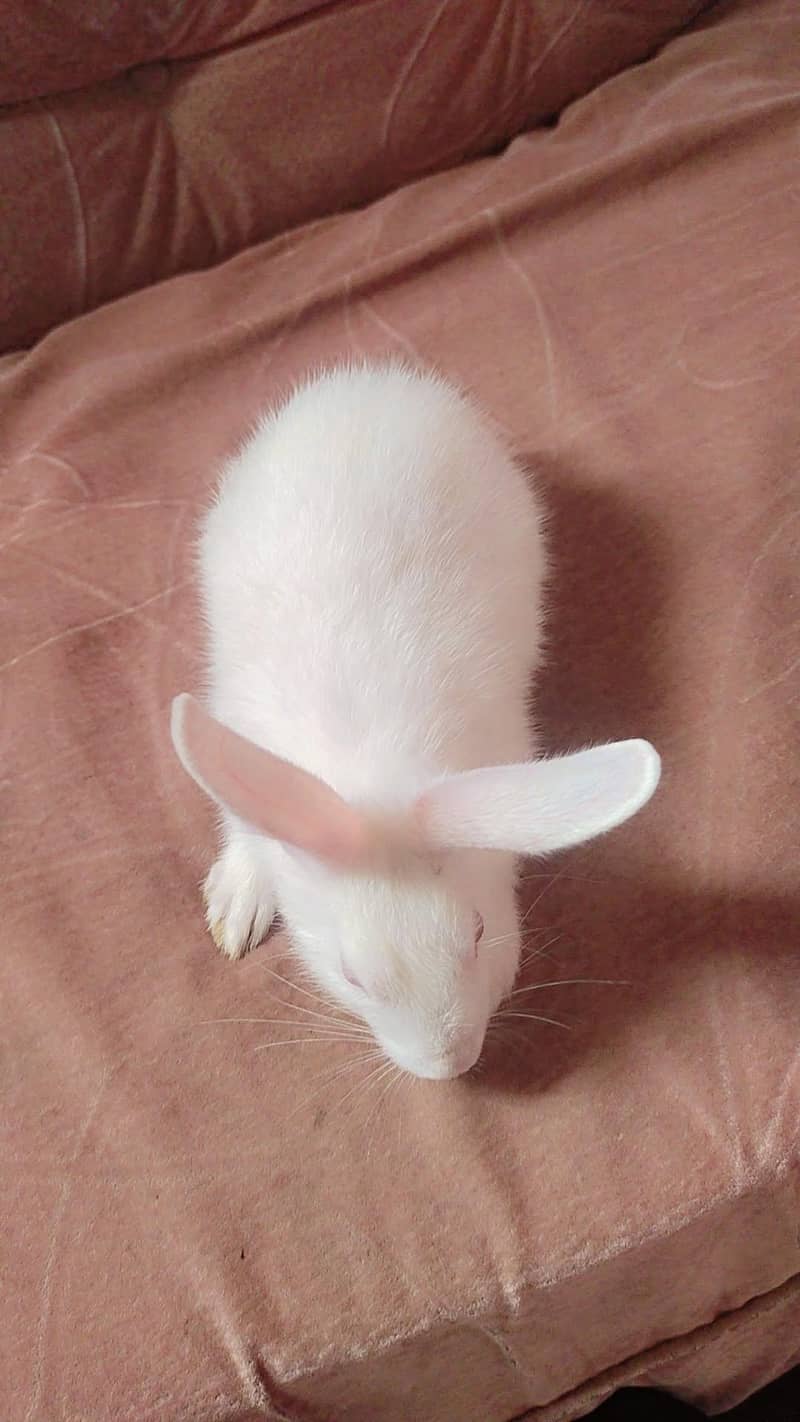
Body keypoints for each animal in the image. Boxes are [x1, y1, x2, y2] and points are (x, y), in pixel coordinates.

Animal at [171, 361, 660, 1080]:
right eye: (351, 976)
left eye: (479, 932)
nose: (448, 1065)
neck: (375, 768)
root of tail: (375, 380)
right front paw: (237, 908)